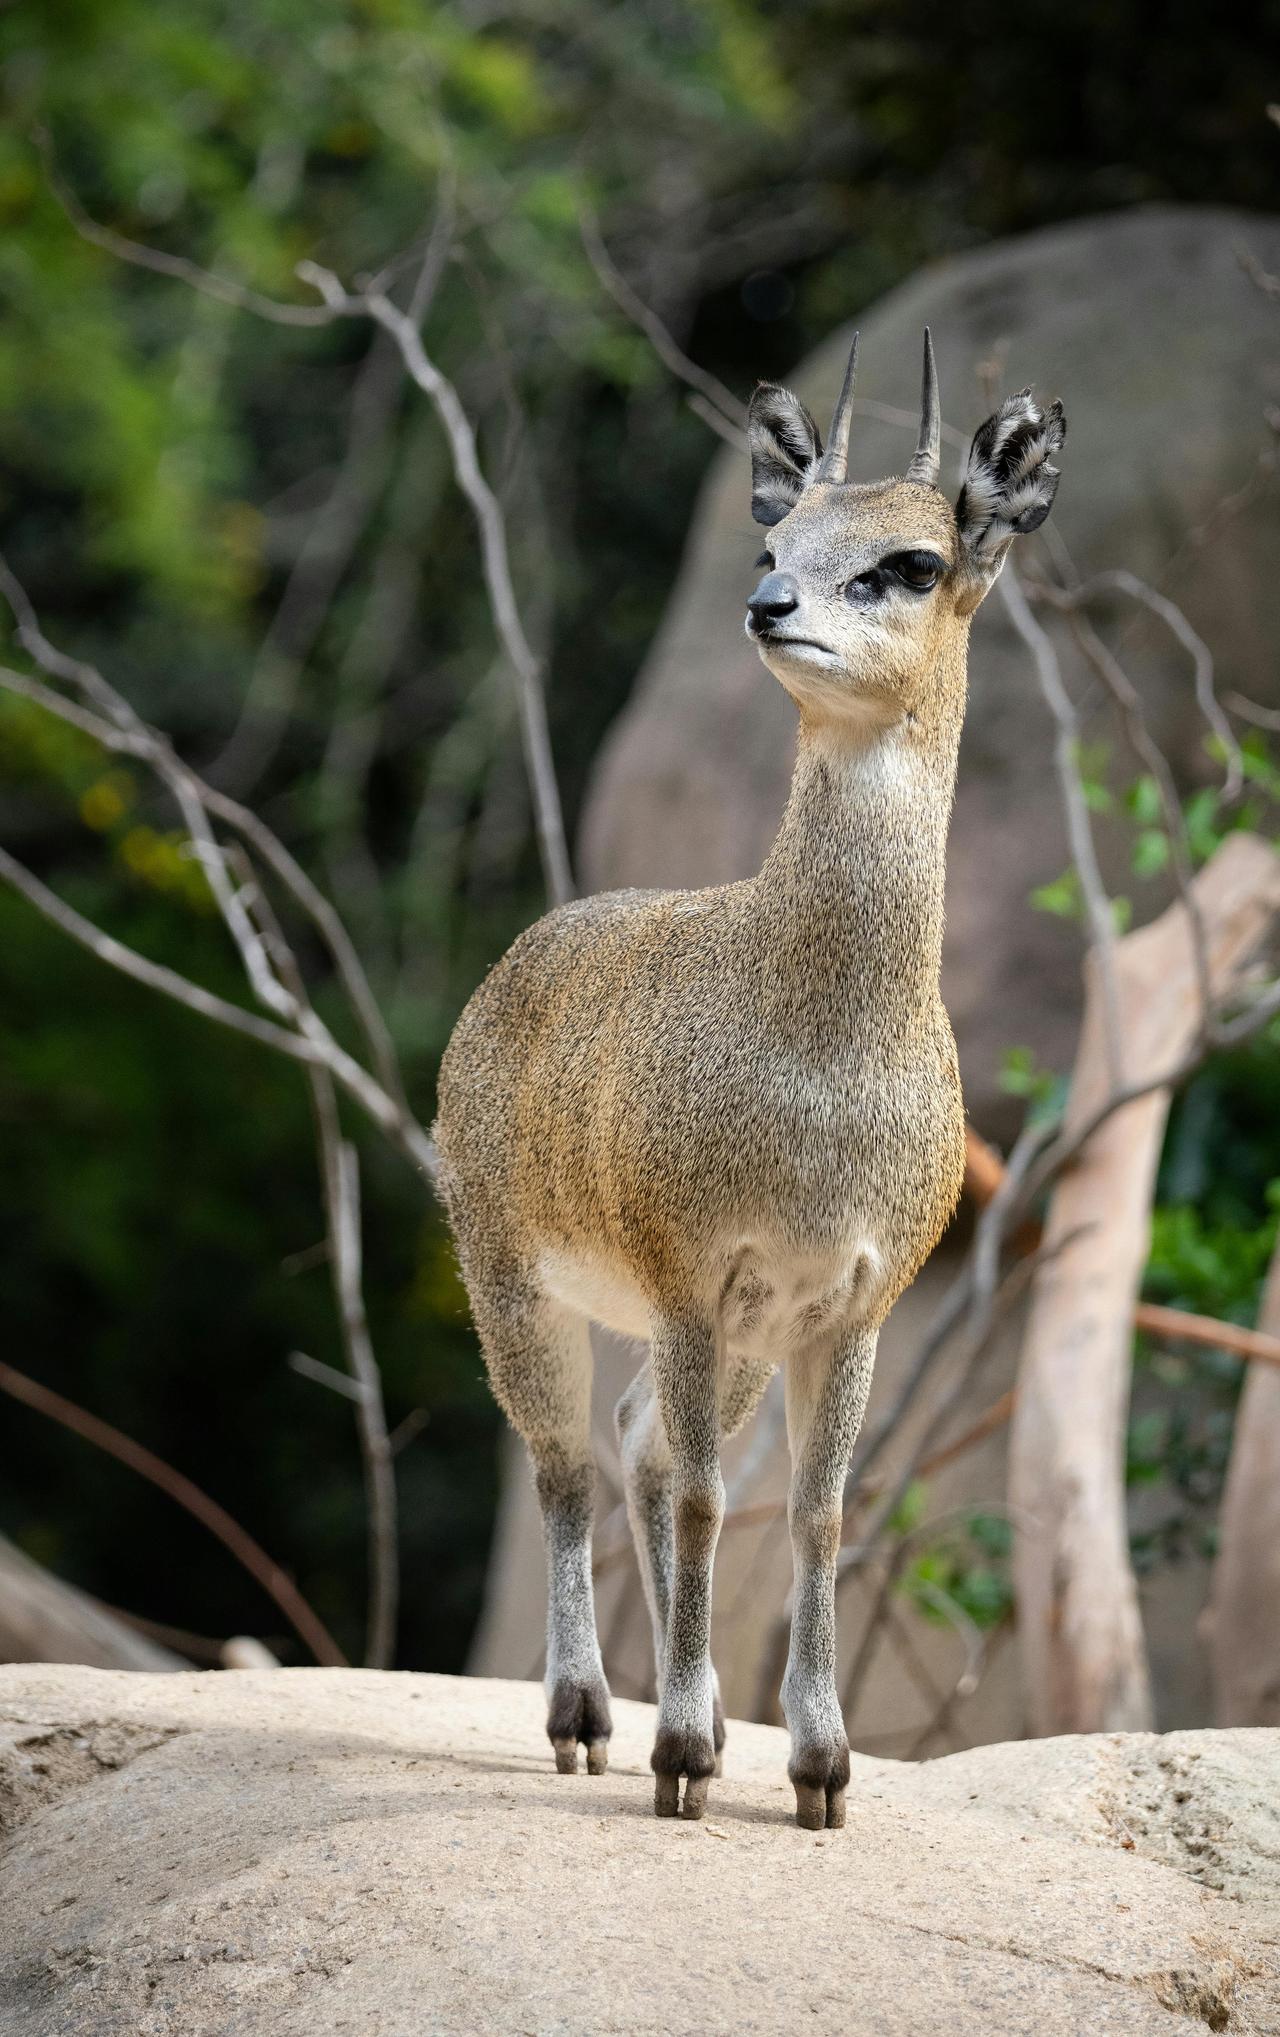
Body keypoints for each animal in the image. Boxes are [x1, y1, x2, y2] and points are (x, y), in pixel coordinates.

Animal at [435, 331, 1066, 1828]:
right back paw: (590, 1719)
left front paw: (819, 1766)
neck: (822, 1073)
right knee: (569, 1463)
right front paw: (676, 1753)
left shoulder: (848, 1301)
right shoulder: (691, 1275)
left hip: (706, 1334)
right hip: (511, 1273)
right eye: (779, 533)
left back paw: (704, 1717)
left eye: (908, 560)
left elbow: (823, 1512)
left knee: (635, 1446)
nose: (768, 603)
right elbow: (715, 1502)